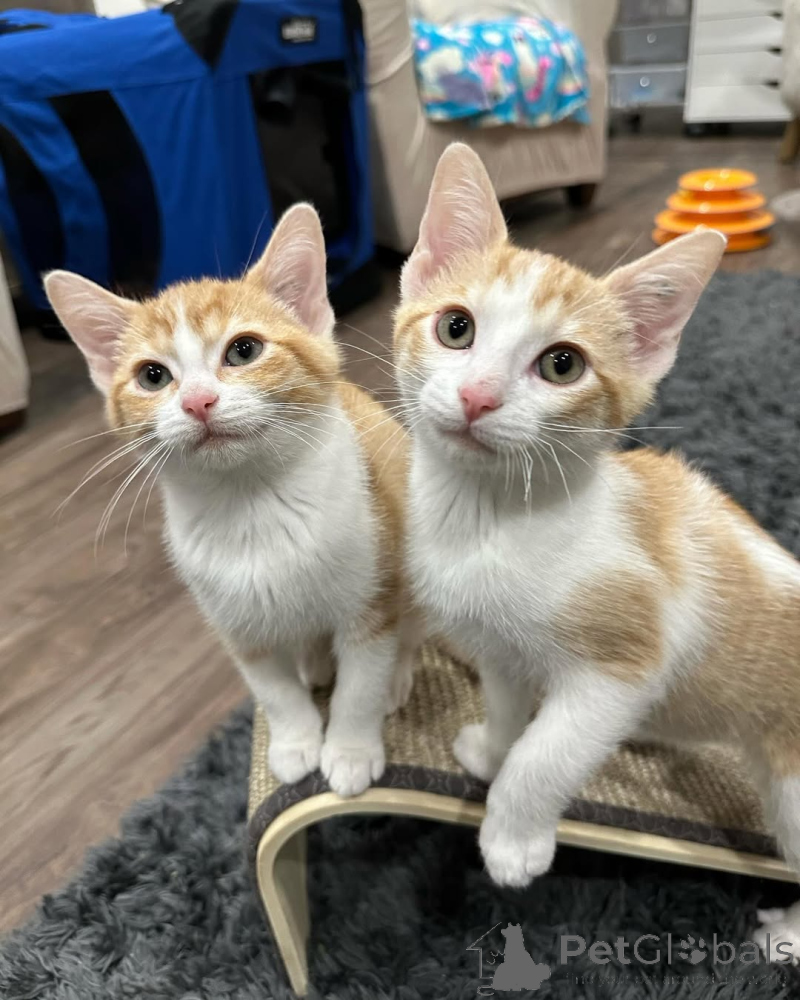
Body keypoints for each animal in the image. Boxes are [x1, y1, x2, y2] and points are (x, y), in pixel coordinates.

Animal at [46, 203, 418, 798]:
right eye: (153, 376)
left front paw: (350, 750)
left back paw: (398, 676)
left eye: (244, 350)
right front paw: (294, 743)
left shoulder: (371, 595)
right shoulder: (236, 625)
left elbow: (361, 681)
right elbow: (273, 690)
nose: (198, 401)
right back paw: (314, 662)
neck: (254, 506)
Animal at [394, 143, 800, 955]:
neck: (489, 520)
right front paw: (490, 751)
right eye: (456, 327)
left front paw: (512, 839)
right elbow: (511, 706)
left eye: (562, 365)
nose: (478, 397)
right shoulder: (500, 646)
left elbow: (547, 754)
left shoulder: (621, 669)